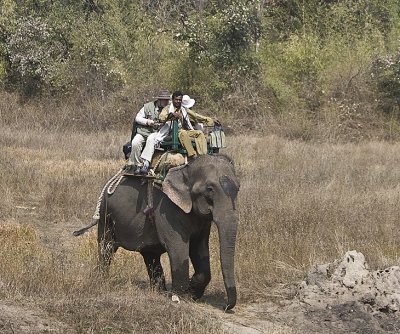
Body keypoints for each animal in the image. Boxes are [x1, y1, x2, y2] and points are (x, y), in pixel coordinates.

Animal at [97, 155, 241, 310]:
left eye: (238, 188)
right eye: (210, 189)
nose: (225, 306)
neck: (186, 169)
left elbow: (199, 248)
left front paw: (193, 292)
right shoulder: (168, 209)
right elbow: (178, 249)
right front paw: (181, 297)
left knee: (150, 255)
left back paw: (160, 292)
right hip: (106, 214)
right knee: (107, 248)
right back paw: (101, 281)